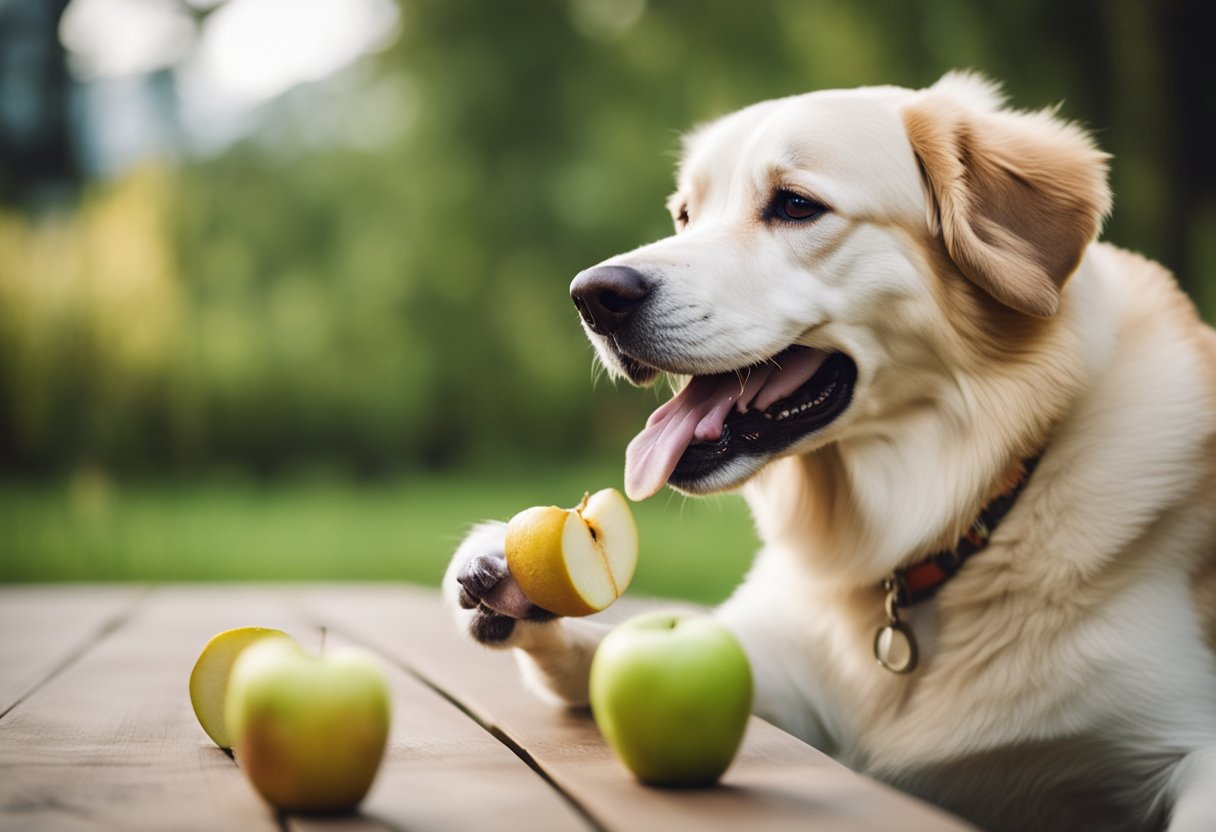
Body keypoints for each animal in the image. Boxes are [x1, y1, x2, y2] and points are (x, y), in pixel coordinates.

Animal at [447, 72, 1216, 832]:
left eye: (795, 205)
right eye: (686, 216)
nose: (593, 296)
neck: (967, 511)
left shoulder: (1190, 739)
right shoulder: (774, 671)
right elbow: (609, 648)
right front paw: (512, 581)